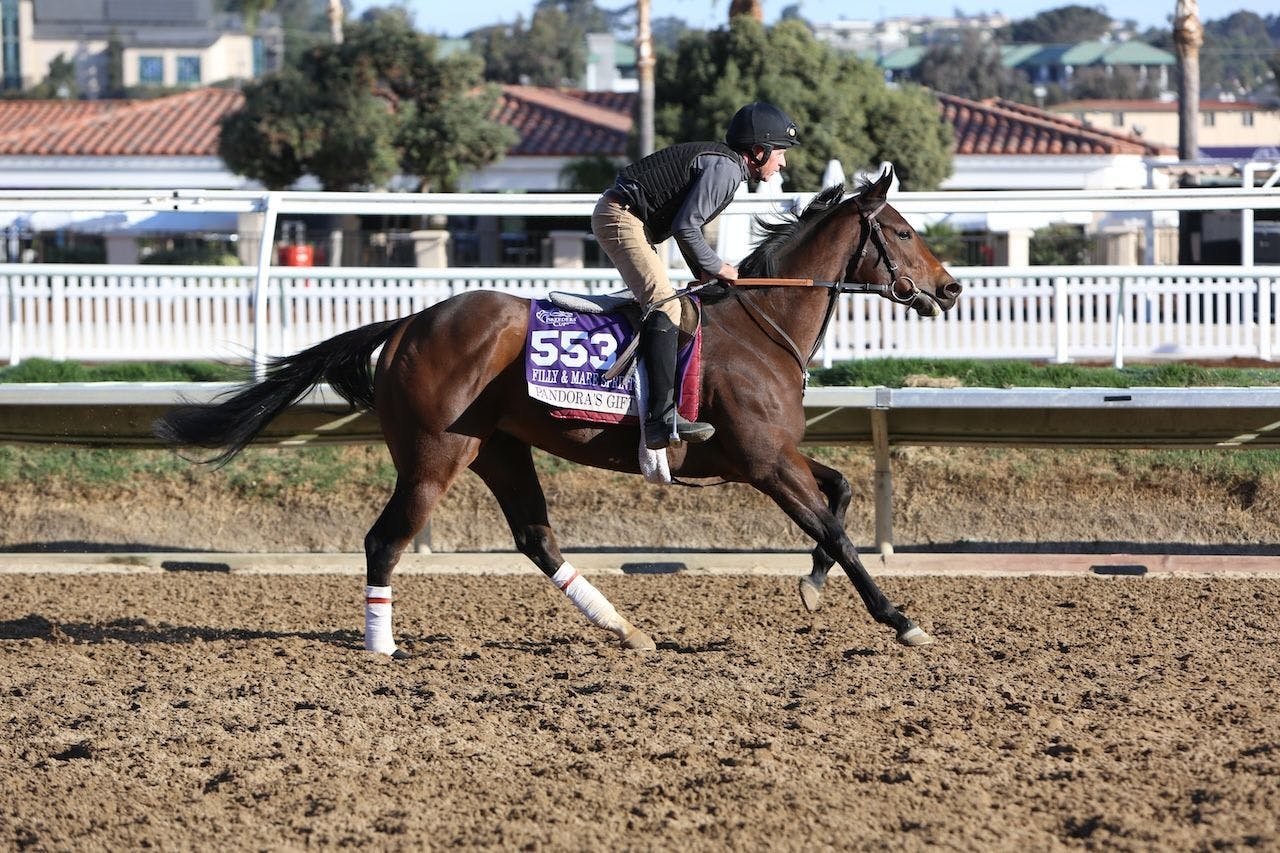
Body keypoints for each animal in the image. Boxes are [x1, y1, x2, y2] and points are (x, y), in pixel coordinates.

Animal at [154, 167, 962, 655]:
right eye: (901, 230)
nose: (951, 287)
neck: (760, 325)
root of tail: (409, 322)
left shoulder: (774, 454)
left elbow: (844, 494)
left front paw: (813, 584)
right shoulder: (764, 463)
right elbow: (837, 529)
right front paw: (900, 620)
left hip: (498, 447)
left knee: (535, 536)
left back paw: (623, 626)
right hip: (432, 456)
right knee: (385, 540)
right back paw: (382, 644)